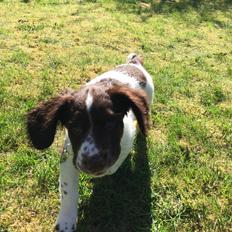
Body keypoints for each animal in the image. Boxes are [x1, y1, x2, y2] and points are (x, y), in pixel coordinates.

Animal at [26, 53, 154, 231]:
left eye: (110, 124)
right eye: (75, 127)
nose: (94, 163)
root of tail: (134, 63)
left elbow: (116, 161)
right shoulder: (69, 155)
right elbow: (68, 190)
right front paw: (66, 221)